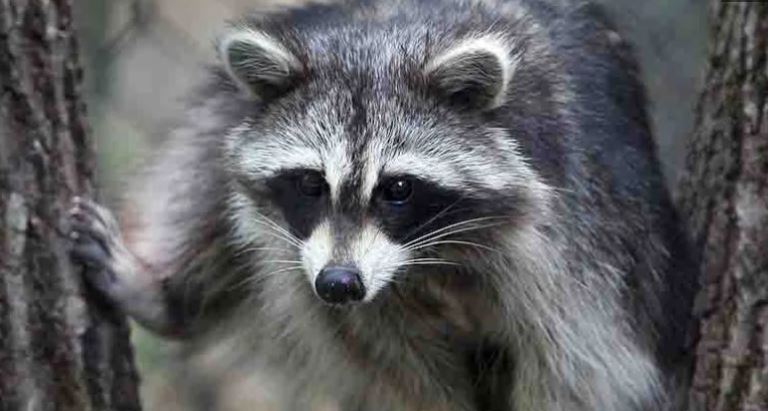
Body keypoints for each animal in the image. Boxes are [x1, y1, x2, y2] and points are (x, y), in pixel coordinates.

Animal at [69, 0, 700, 411]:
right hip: (237, 102)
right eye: (310, 184)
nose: (339, 283)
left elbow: (582, 378)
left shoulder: (576, 255)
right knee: (205, 158)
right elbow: (412, 383)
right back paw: (168, 296)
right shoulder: (350, 303)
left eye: (397, 189)